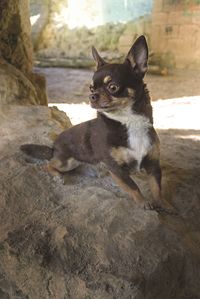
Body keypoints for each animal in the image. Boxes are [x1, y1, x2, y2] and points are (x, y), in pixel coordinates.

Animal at [20, 35, 175, 213]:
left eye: (113, 87)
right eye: (91, 87)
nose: (92, 96)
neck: (128, 122)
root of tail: (54, 147)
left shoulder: (153, 165)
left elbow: (157, 187)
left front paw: (163, 204)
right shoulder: (115, 169)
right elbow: (133, 186)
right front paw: (143, 202)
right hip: (67, 162)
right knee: (48, 165)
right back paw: (58, 175)